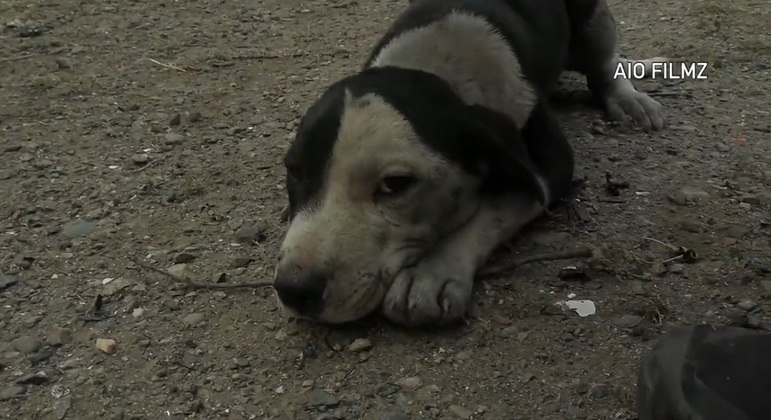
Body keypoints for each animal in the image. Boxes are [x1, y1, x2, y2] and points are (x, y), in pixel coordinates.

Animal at [274, 0, 668, 324]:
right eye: (294, 171)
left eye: (394, 184)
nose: (294, 289)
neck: (433, 62)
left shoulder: (547, 168)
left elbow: (495, 207)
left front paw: (430, 272)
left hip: (591, 21)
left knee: (604, 66)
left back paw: (627, 98)